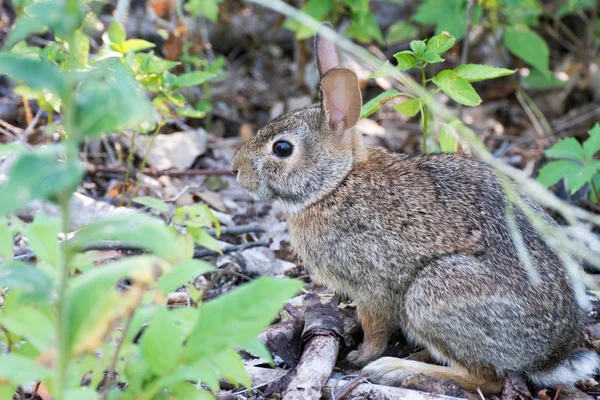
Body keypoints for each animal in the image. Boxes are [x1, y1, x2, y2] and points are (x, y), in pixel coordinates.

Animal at [231, 22, 600, 394]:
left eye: (282, 149)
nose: (235, 169)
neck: (336, 183)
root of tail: (551, 355)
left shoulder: (371, 285)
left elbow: (375, 327)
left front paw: (361, 356)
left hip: (433, 295)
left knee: (488, 378)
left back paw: (395, 369)